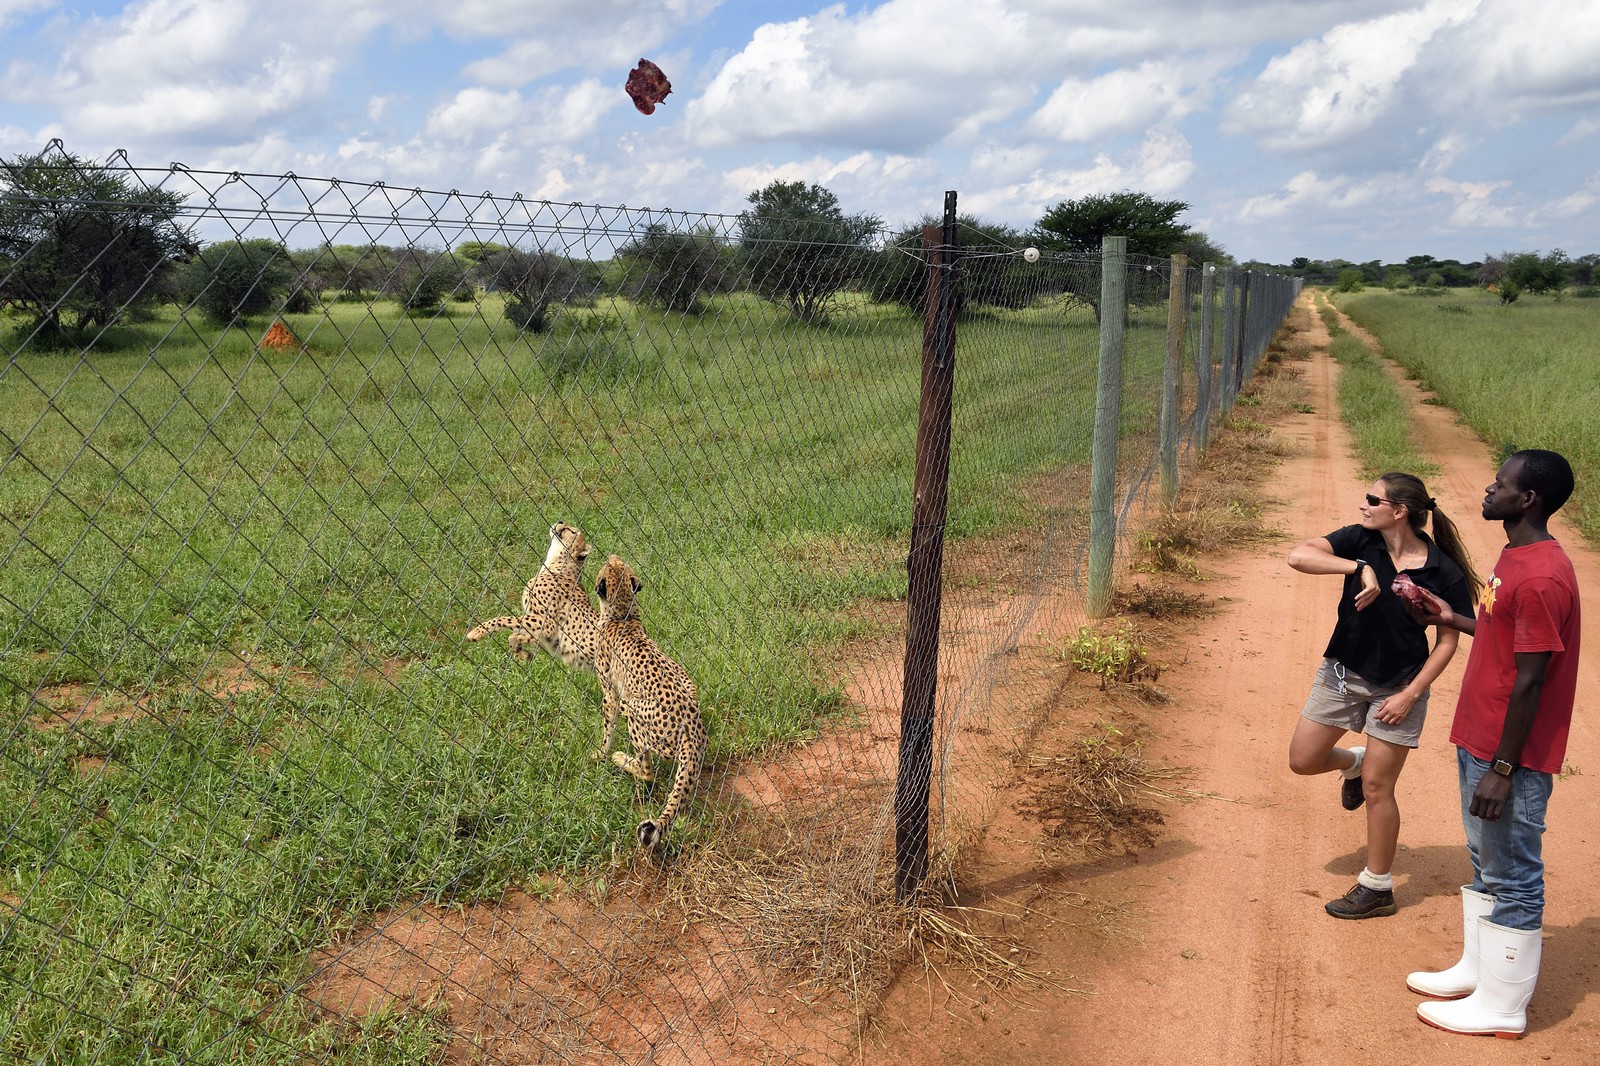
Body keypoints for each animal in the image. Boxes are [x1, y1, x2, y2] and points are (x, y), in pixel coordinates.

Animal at [465, 521, 599, 673]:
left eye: (571, 531)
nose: (560, 521)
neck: (558, 565)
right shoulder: (545, 632)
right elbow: (516, 635)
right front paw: (523, 654)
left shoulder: (548, 623)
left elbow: (507, 619)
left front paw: (476, 632)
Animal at [591, 554, 706, 849]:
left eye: (610, 565)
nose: (610, 555)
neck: (622, 615)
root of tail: (693, 728)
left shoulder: (611, 694)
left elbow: (607, 729)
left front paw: (600, 754)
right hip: (688, 683)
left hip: (633, 708)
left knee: (647, 771)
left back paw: (622, 759)